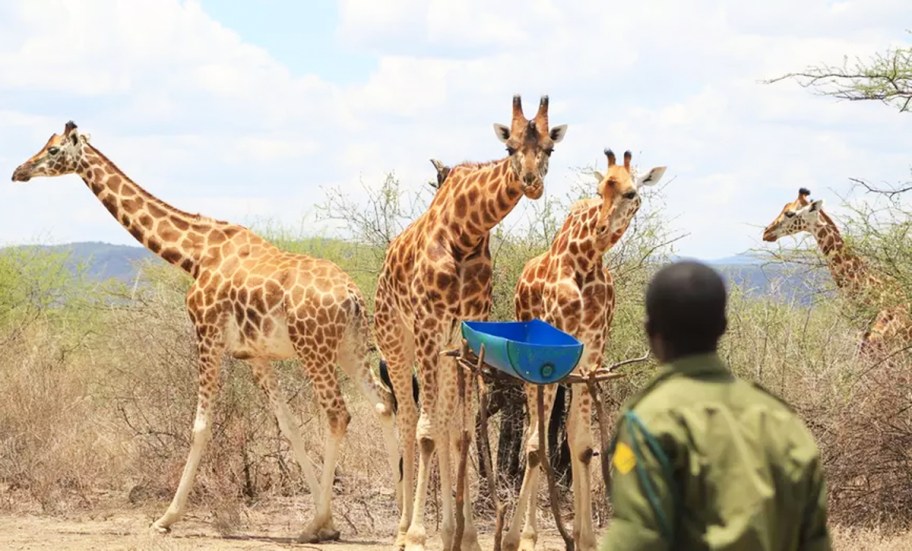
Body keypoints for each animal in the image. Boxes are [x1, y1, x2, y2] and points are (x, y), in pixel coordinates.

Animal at [7, 122, 400, 544]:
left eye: (53, 150)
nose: (18, 171)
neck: (194, 254)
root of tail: (353, 297)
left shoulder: (207, 333)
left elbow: (200, 426)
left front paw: (167, 517)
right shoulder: (255, 355)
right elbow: (288, 426)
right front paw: (327, 522)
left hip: (315, 350)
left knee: (338, 415)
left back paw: (321, 526)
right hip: (349, 348)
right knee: (383, 403)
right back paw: (399, 521)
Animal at [374, 96, 568, 551]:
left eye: (549, 148)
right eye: (510, 147)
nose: (531, 182)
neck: (466, 233)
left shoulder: (466, 325)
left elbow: (460, 431)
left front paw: (466, 537)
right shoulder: (427, 322)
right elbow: (427, 431)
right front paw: (419, 535)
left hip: (441, 346)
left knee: (443, 421)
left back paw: (448, 531)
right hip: (396, 338)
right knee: (408, 418)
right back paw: (401, 531)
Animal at [510, 148, 668, 551]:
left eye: (631, 192)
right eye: (599, 190)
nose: (600, 228)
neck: (585, 260)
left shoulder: (593, 348)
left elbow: (581, 443)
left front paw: (586, 539)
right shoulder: (551, 342)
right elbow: (537, 443)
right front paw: (520, 536)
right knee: (534, 435)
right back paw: (527, 533)